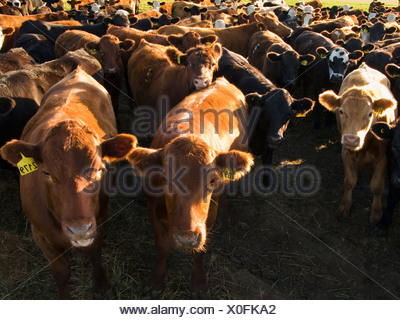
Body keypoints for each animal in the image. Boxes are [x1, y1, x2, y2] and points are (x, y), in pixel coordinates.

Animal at [0, 66, 136, 298]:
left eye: (99, 169)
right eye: (46, 173)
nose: (79, 229)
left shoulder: (99, 221)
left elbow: (95, 252)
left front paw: (101, 283)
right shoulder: (41, 235)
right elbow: (61, 271)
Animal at [127, 77, 253, 298]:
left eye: (212, 181)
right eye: (165, 179)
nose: (186, 238)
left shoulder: (208, 215)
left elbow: (200, 251)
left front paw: (199, 282)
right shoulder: (153, 209)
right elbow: (162, 247)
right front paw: (156, 280)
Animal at [318, 62, 396, 222]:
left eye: (370, 113)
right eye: (341, 111)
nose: (351, 139)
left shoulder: (383, 157)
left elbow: (377, 186)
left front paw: (376, 212)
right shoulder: (346, 152)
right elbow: (349, 181)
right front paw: (345, 205)